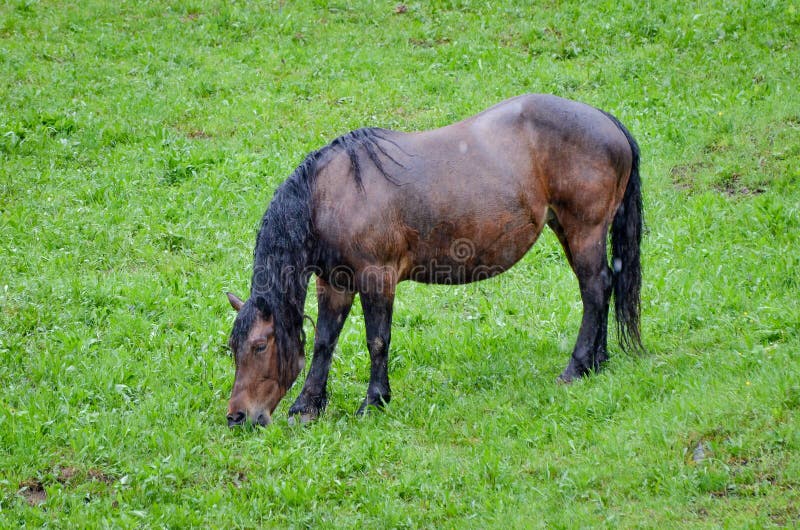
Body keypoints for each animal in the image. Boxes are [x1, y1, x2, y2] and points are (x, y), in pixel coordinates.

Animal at [223, 94, 644, 424]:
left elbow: (377, 340)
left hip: (584, 230)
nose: (237, 416)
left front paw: (374, 402)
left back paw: (577, 368)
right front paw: (306, 407)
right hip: (570, 231)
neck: (331, 195)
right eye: (232, 347)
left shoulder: (377, 279)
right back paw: (597, 362)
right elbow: (325, 342)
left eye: (260, 346)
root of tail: (604, 119)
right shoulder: (336, 283)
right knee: (601, 287)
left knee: (594, 290)